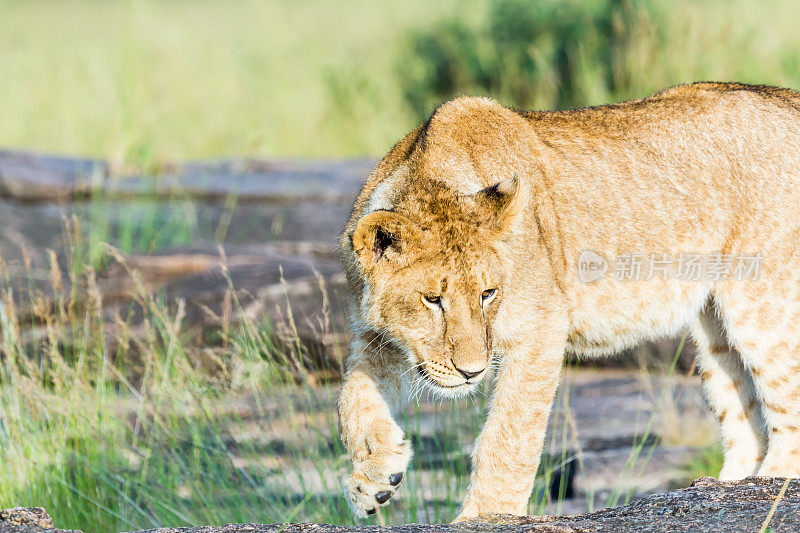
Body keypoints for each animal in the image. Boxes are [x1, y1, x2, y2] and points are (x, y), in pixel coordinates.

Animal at [334, 83, 800, 520]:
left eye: (488, 293)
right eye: (432, 299)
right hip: (713, 332)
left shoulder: (540, 329)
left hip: (763, 304)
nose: (473, 372)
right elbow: (352, 397)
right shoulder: (377, 339)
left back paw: (769, 485)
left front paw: (484, 515)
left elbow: (507, 436)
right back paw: (726, 487)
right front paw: (374, 476)